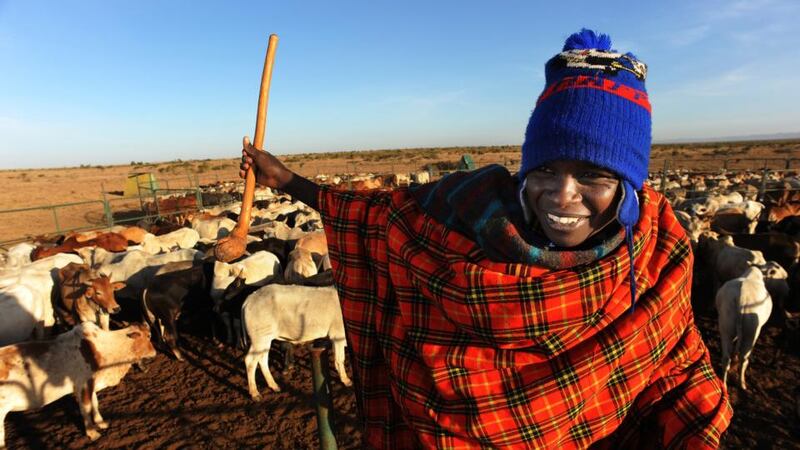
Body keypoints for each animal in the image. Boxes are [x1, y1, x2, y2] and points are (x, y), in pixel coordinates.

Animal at [0, 322, 156, 446]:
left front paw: (100, 422)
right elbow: (85, 408)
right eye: (148, 336)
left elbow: (95, 403)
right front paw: (92, 433)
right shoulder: (83, 384)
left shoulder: (91, 382)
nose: (155, 353)